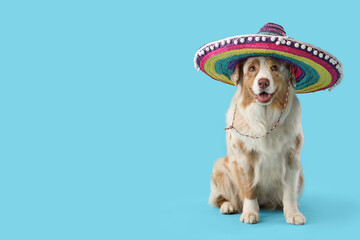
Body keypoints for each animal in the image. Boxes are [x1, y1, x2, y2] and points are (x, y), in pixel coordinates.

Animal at [208, 56, 306, 225]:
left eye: (274, 67)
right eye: (252, 68)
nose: (263, 82)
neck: (265, 118)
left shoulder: (292, 159)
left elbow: (289, 191)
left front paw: (293, 214)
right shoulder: (244, 159)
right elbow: (249, 190)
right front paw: (250, 213)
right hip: (219, 169)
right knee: (220, 198)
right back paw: (228, 206)